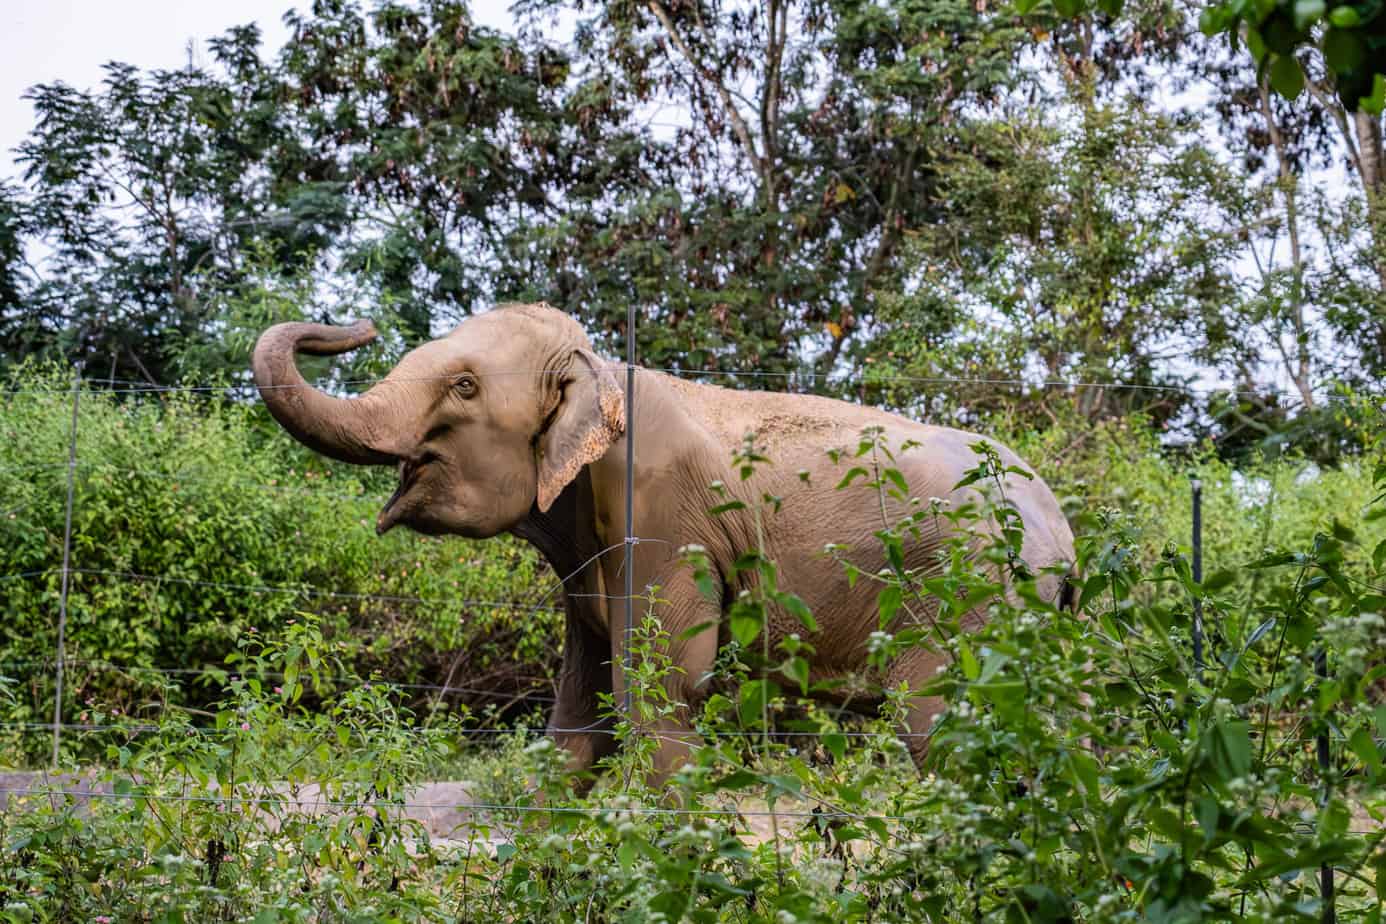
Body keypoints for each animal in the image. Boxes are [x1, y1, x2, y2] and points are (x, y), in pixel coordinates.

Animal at [252, 302, 1075, 779]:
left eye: (463, 387)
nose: (356, 324)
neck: (603, 374)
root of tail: (1060, 527)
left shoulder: (663, 515)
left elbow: (659, 690)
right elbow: (579, 712)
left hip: (969, 597)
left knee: (946, 731)